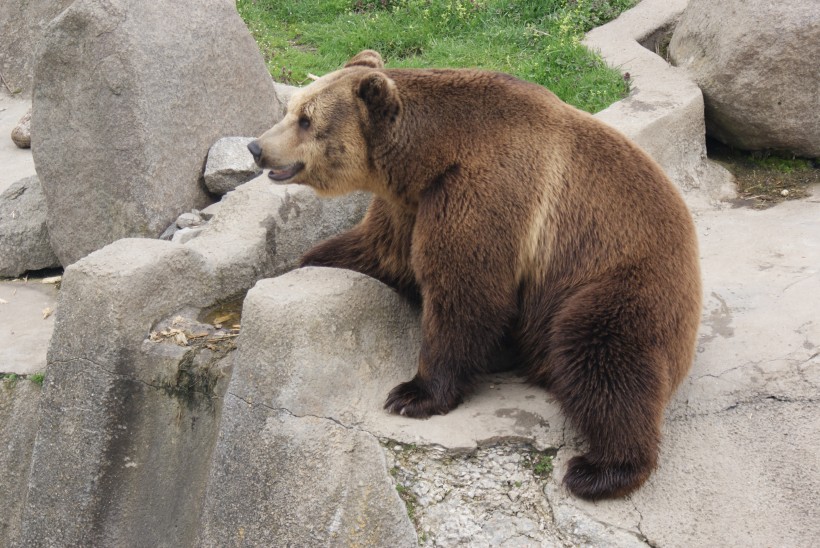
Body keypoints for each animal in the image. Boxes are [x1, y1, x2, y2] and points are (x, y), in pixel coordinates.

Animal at [248, 50, 700, 500]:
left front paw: (413, 394)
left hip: (618, 284)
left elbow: (465, 295)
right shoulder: (409, 207)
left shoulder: (484, 192)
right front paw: (304, 264)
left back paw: (600, 469)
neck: (427, 158)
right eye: (291, 109)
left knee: (603, 355)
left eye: (306, 119)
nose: (256, 147)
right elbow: (378, 252)